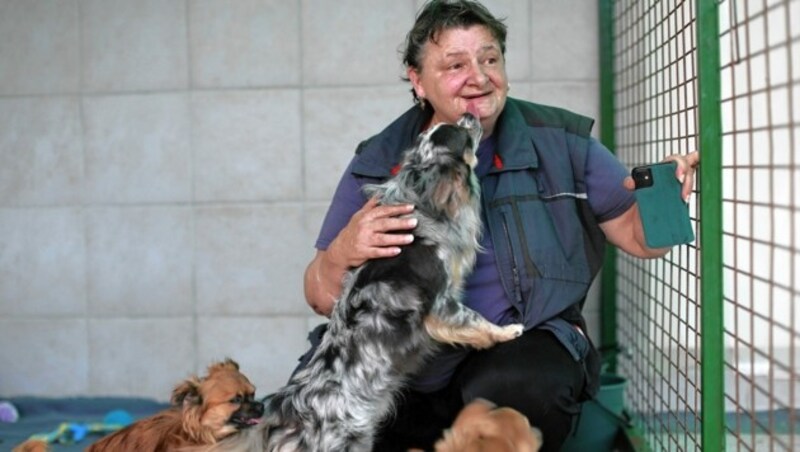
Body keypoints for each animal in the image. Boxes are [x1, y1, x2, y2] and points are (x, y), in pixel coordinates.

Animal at [205, 113, 524, 452]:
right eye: (460, 132)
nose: (469, 115)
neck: (419, 203)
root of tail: (287, 413)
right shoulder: (442, 305)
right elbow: (475, 321)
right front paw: (507, 331)